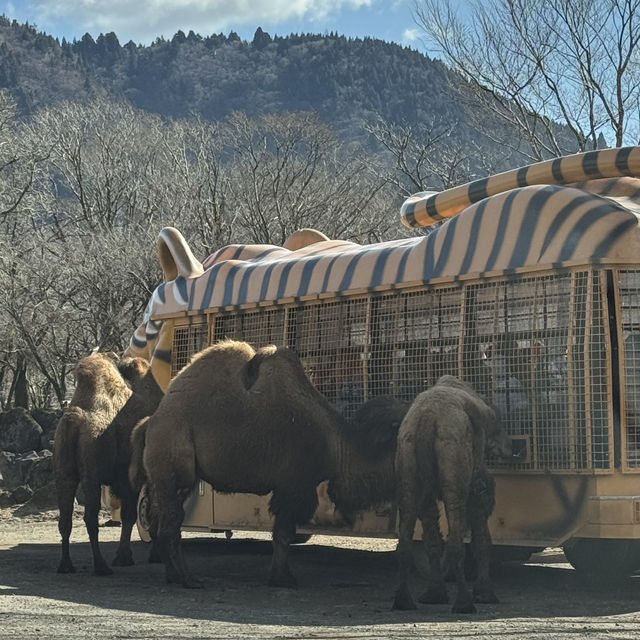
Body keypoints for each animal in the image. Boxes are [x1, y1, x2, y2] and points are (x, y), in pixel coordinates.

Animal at [53, 350, 162, 576]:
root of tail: (73, 419)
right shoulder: (134, 477)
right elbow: (136, 513)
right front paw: (127, 557)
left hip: (64, 472)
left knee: (65, 518)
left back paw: (66, 565)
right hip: (91, 474)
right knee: (90, 517)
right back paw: (101, 566)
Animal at [390, 376, 510, 616]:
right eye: (500, 426)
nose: (511, 447)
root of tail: (427, 420)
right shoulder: (476, 479)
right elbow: (481, 521)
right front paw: (486, 594)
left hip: (407, 459)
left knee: (409, 535)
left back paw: (408, 600)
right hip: (453, 456)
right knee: (455, 533)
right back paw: (464, 604)